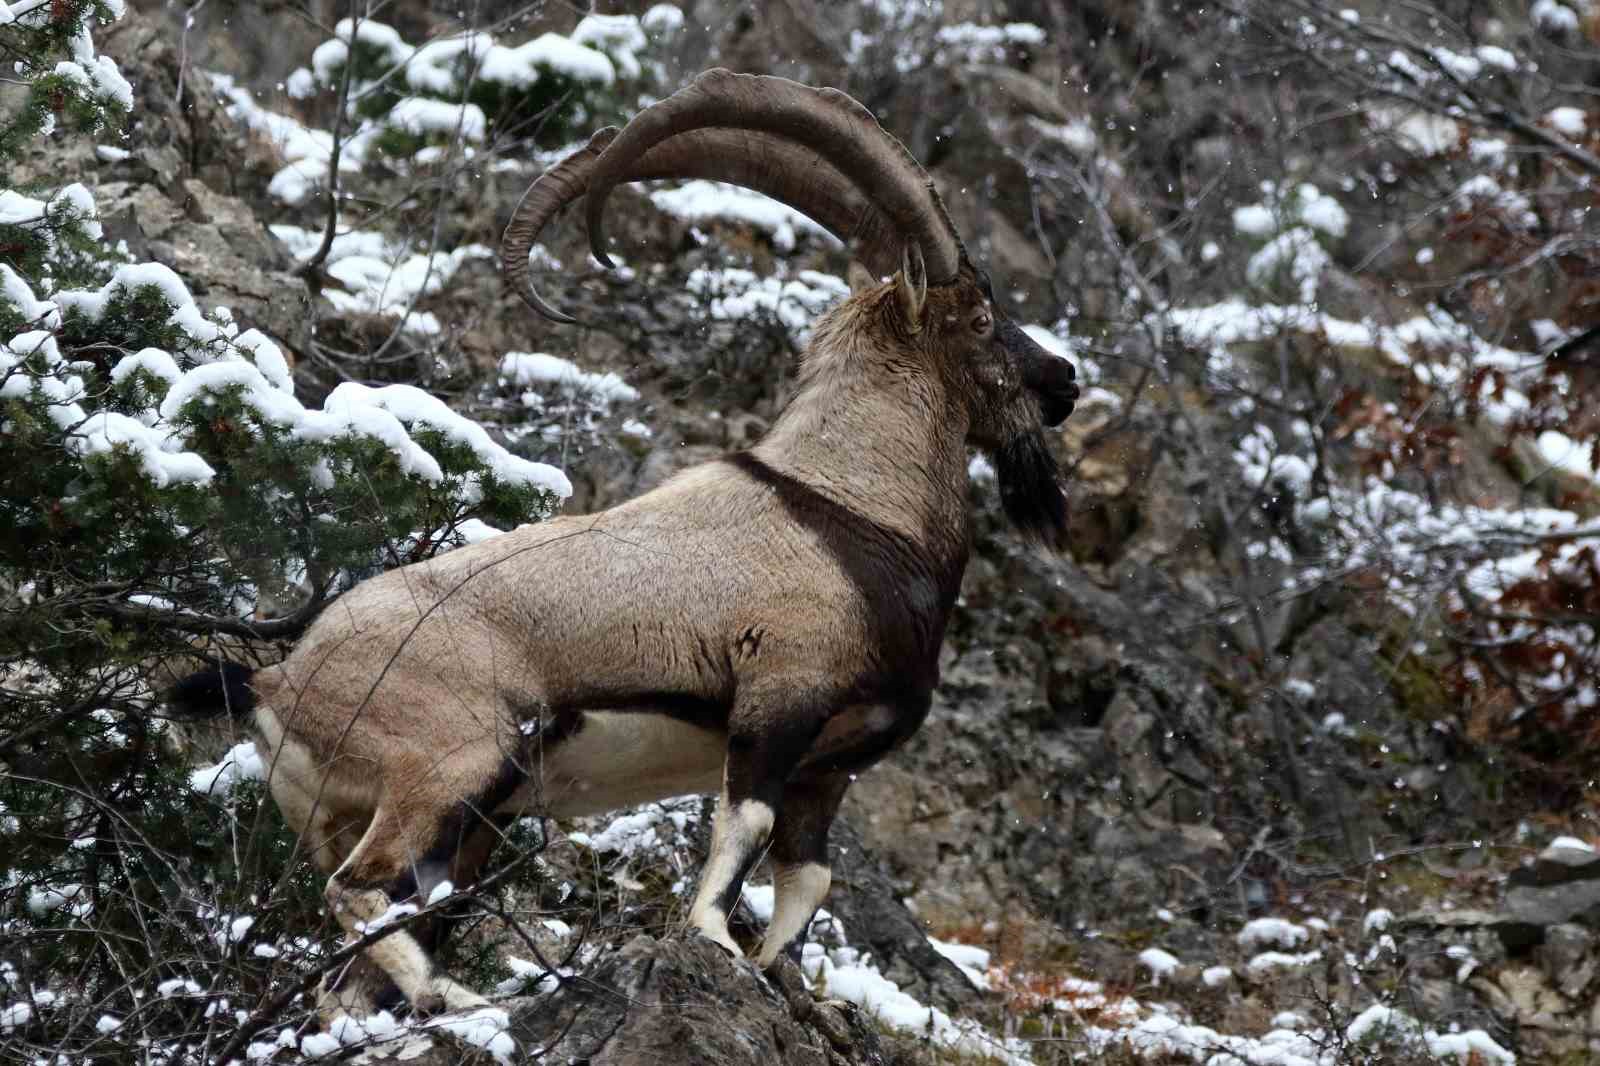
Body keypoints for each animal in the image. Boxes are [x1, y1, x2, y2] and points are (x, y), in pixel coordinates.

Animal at [168, 66, 1081, 1011]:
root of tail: (276, 681)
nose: (1065, 381)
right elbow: (741, 829)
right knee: (358, 890)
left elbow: (808, 879)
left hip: (454, 817)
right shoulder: (778, 704)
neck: (852, 509)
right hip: (454, 764)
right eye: (980, 318)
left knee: (358, 963)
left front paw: (790, 982)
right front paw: (713, 941)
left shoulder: (827, 771)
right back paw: (465, 1003)